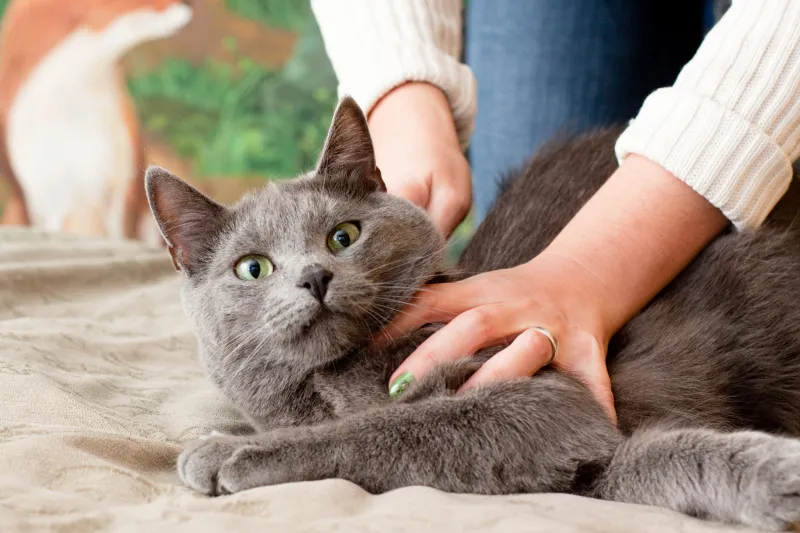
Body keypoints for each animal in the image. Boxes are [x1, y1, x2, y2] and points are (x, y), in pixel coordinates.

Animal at [147, 97, 800, 528]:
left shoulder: (540, 392)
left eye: (343, 236)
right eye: (253, 268)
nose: (314, 277)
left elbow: (391, 427)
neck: (329, 384)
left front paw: (229, 451)